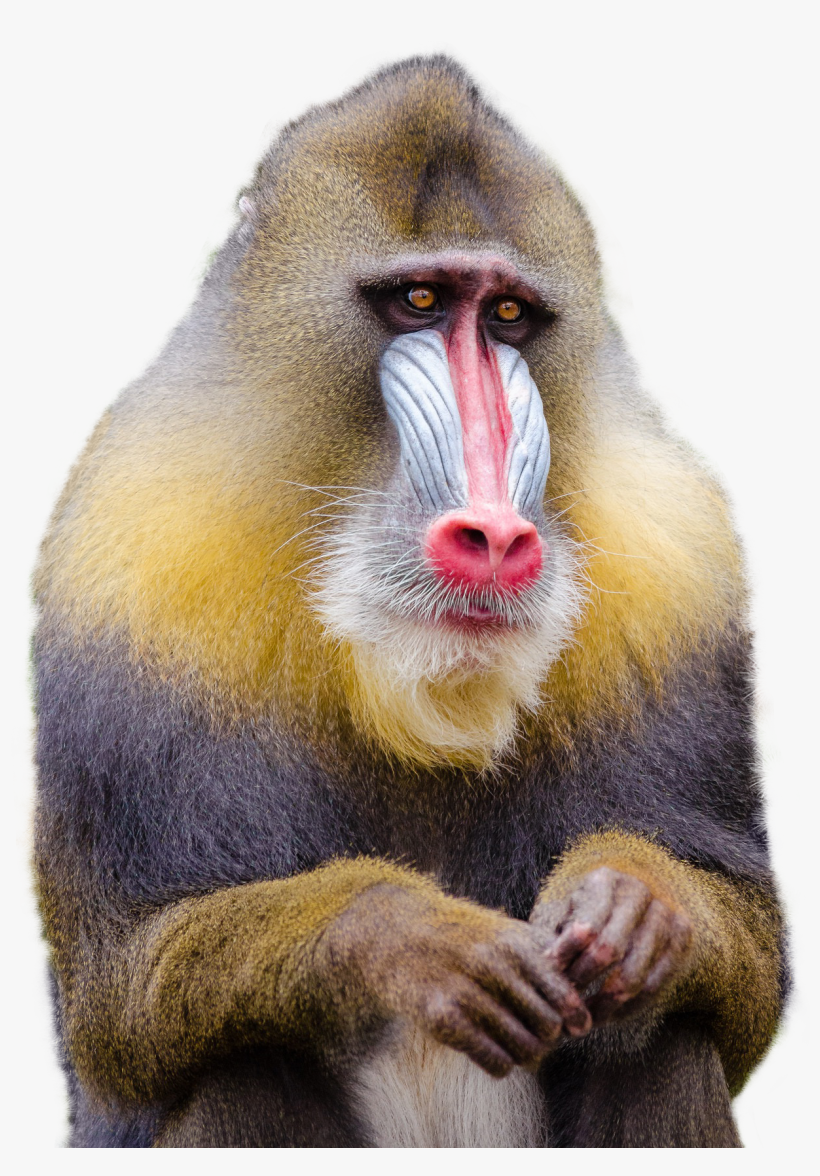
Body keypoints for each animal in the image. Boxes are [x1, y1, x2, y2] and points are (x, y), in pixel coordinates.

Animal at [33, 57, 786, 1148]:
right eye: (420, 299)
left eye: (507, 318)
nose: (496, 538)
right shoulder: (130, 568)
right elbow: (123, 998)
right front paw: (411, 938)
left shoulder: (680, 567)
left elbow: (749, 975)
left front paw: (634, 905)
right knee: (235, 1062)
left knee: (664, 1039)